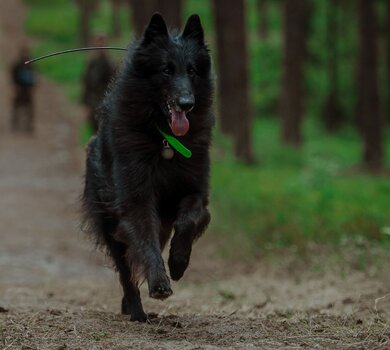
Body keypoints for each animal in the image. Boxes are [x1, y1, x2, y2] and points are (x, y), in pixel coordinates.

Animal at [82, 13, 215, 322]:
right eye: (166, 69)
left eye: (192, 70)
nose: (186, 104)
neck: (163, 139)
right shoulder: (136, 200)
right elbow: (145, 242)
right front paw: (159, 283)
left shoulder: (196, 193)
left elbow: (188, 220)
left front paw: (178, 262)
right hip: (110, 223)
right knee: (126, 270)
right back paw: (135, 309)